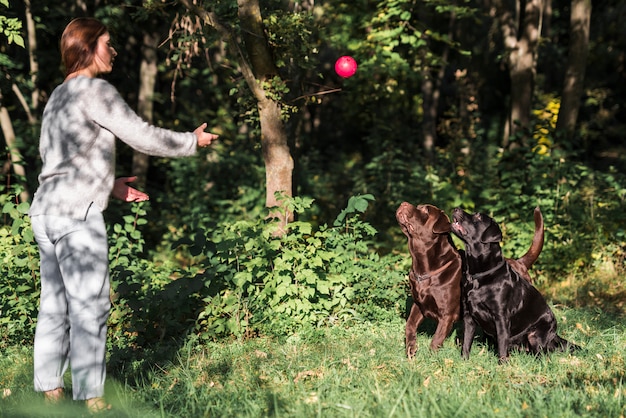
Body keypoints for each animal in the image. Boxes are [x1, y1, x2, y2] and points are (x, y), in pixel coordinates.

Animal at [398, 202, 544, 360]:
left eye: (426, 210)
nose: (403, 203)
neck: (426, 270)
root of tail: (520, 263)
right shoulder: (419, 304)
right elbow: (410, 325)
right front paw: (411, 350)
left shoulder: (447, 315)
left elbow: (436, 340)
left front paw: (431, 359)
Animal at [448, 207, 576, 360]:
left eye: (478, 217)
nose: (456, 209)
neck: (479, 276)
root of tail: (554, 335)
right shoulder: (468, 316)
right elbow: (466, 342)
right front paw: (464, 360)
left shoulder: (501, 317)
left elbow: (502, 344)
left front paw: (503, 363)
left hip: (536, 334)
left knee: (541, 353)